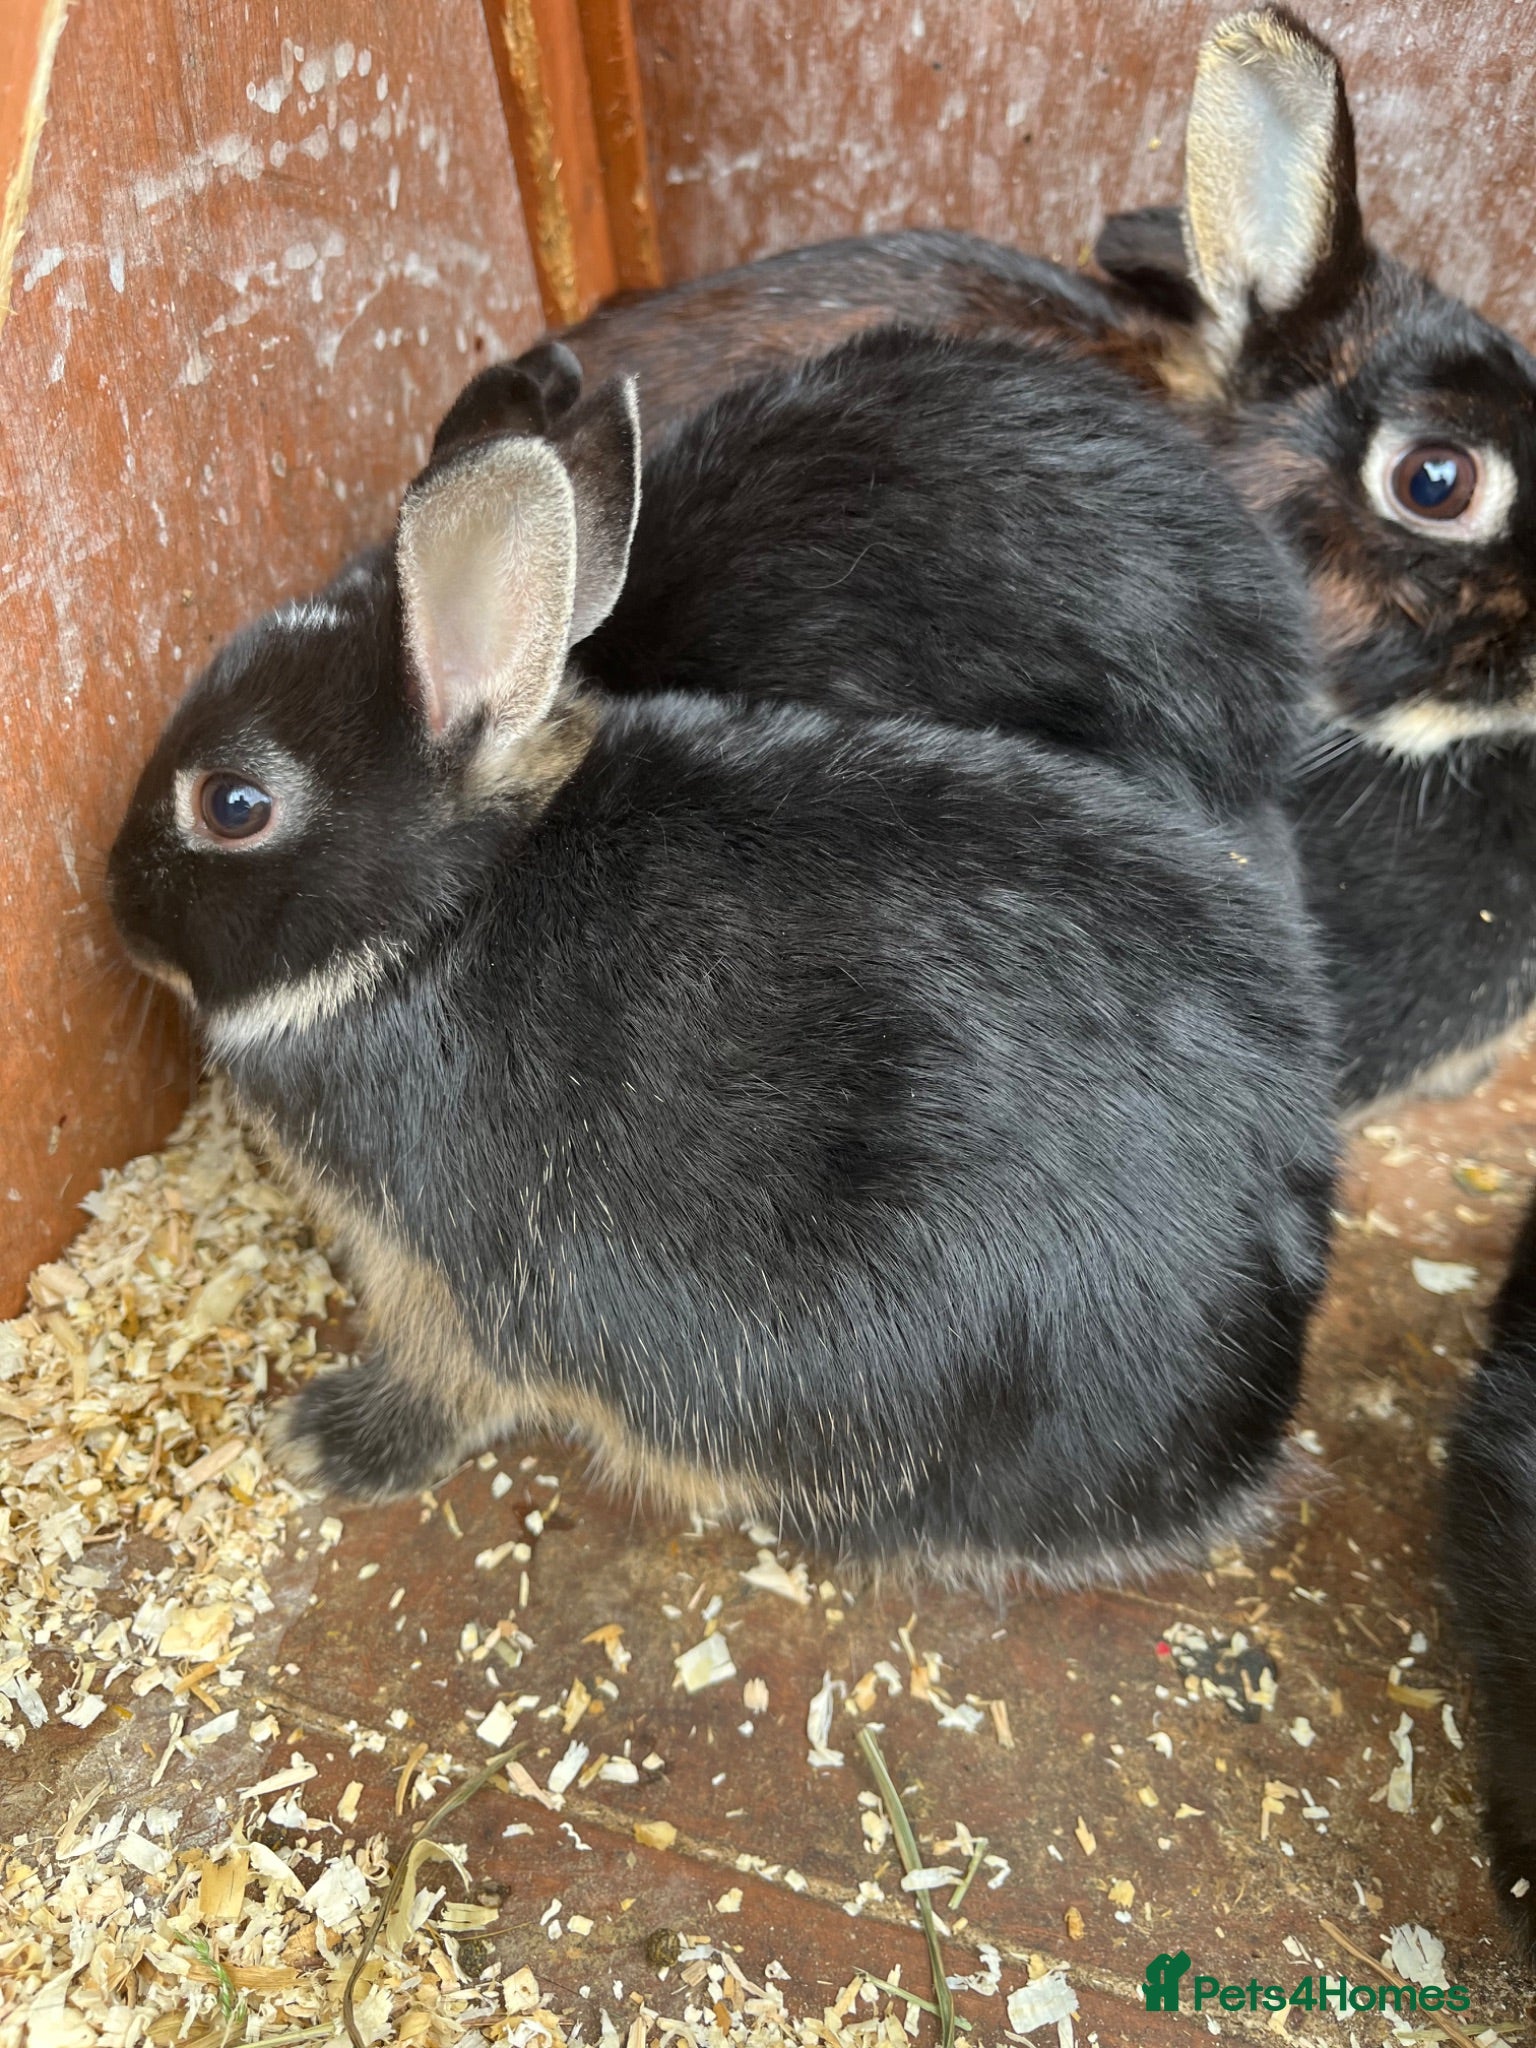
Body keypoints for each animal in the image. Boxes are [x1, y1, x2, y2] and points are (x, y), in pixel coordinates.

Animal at [107, 345, 1336, 1581]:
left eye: (234, 805)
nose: (113, 905)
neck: (434, 922)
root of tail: (1259, 1402)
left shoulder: (451, 1273)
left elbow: (455, 1381)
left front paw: (329, 1441)